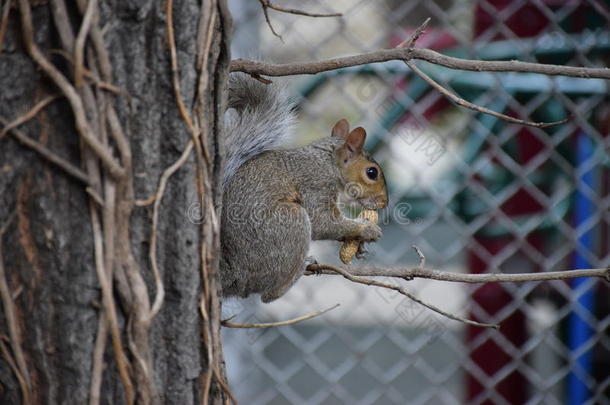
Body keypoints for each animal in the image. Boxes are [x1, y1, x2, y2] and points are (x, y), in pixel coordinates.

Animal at [221, 74, 388, 302]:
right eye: (372, 173)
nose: (384, 202)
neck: (328, 163)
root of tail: (236, 277)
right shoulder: (316, 184)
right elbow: (322, 223)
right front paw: (366, 229)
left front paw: (358, 244)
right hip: (290, 221)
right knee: (268, 295)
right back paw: (299, 270)